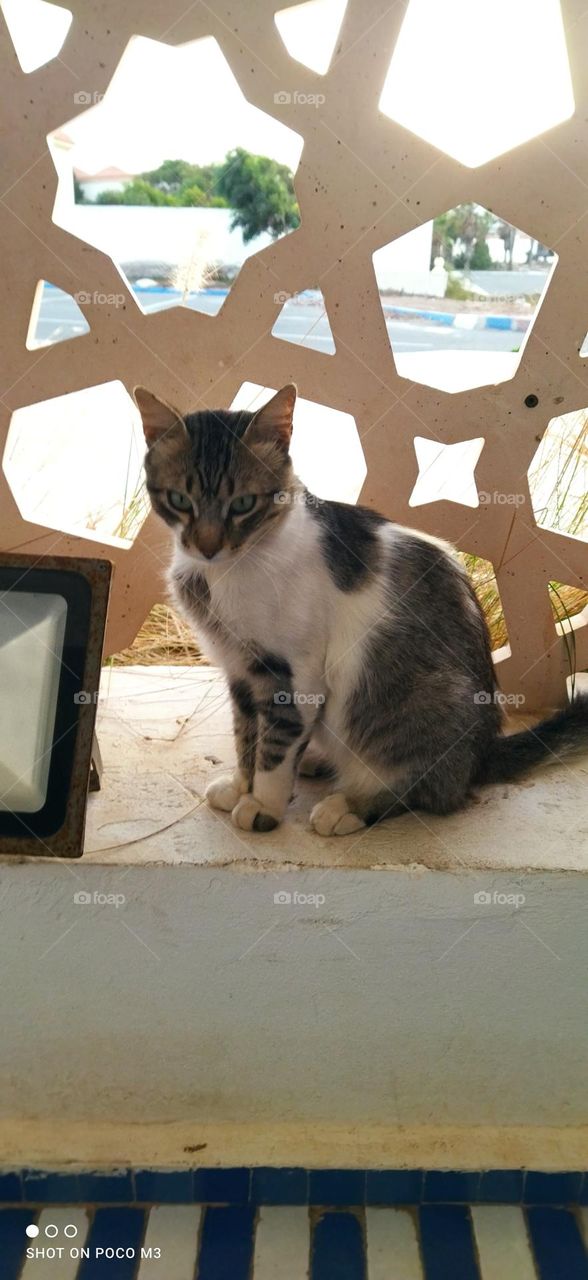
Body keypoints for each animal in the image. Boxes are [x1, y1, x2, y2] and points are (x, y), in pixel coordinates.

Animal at [134, 378, 588, 834]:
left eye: (244, 504)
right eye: (179, 499)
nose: (207, 546)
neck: (225, 573)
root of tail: (481, 754)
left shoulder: (296, 671)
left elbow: (276, 744)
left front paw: (263, 804)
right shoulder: (240, 669)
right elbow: (248, 734)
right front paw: (241, 785)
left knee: (428, 790)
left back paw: (349, 806)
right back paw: (318, 762)